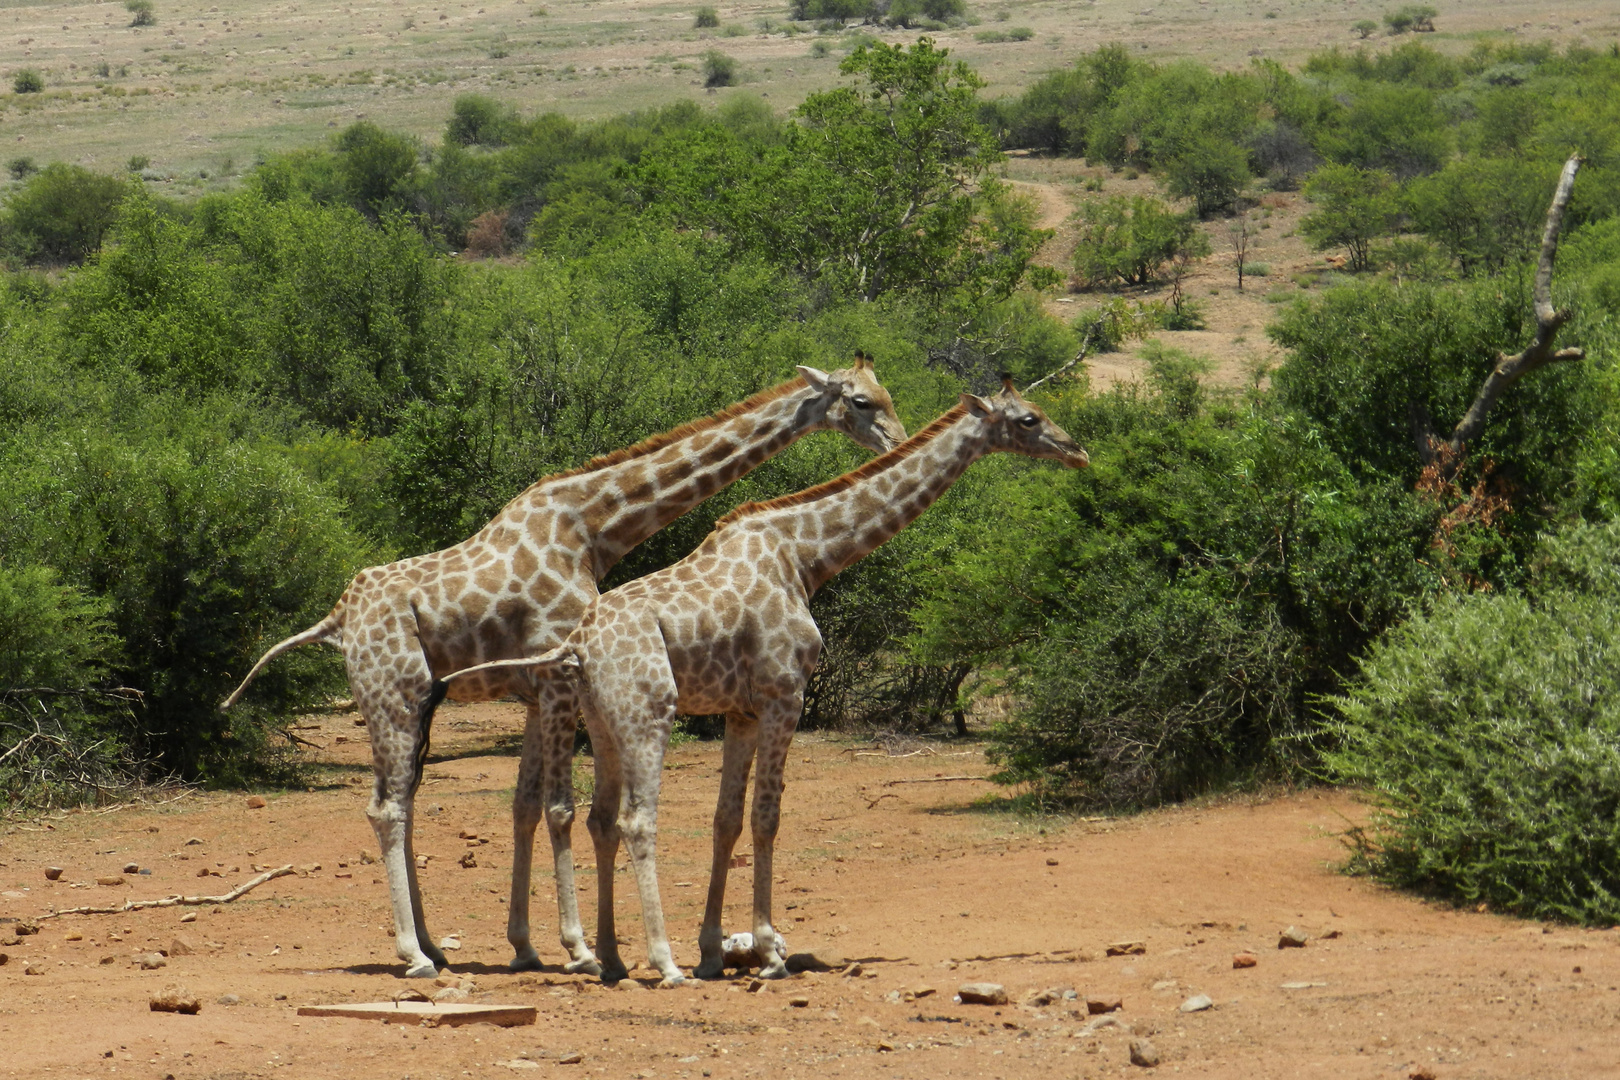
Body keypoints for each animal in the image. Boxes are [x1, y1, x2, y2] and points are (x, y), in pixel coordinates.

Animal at [217, 361, 907, 977]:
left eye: (887, 395)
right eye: (863, 401)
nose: (896, 441)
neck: (593, 527)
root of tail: (338, 616)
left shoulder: (535, 688)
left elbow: (524, 806)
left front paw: (526, 946)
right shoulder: (557, 676)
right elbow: (561, 810)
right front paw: (578, 949)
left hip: (412, 705)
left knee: (404, 802)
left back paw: (436, 945)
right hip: (392, 694)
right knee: (387, 809)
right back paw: (415, 956)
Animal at [440, 378, 1088, 990]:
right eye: (1029, 419)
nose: (1077, 452)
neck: (806, 555)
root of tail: (578, 644)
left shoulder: (741, 710)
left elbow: (726, 820)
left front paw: (712, 952)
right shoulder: (785, 695)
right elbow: (766, 817)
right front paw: (769, 952)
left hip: (600, 721)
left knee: (601, 819)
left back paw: (612, 960)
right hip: (650, 712)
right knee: (636, 820)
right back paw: (661, 961)